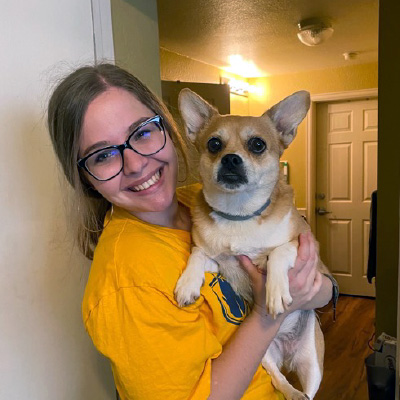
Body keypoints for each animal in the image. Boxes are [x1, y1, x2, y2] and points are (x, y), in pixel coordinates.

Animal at [173, 88, 330, 400]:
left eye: (257, 145)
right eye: (214, 144)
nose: (231, 159)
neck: (240, 213)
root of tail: (287, 352)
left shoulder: (306, 249)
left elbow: (280, 250)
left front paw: (276, 290)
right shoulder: (220, 261)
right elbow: (197, 253)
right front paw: (187, 283)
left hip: (312, 364)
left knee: (310, 388)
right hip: (264, 356)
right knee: (280, 379)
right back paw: (291, 392)